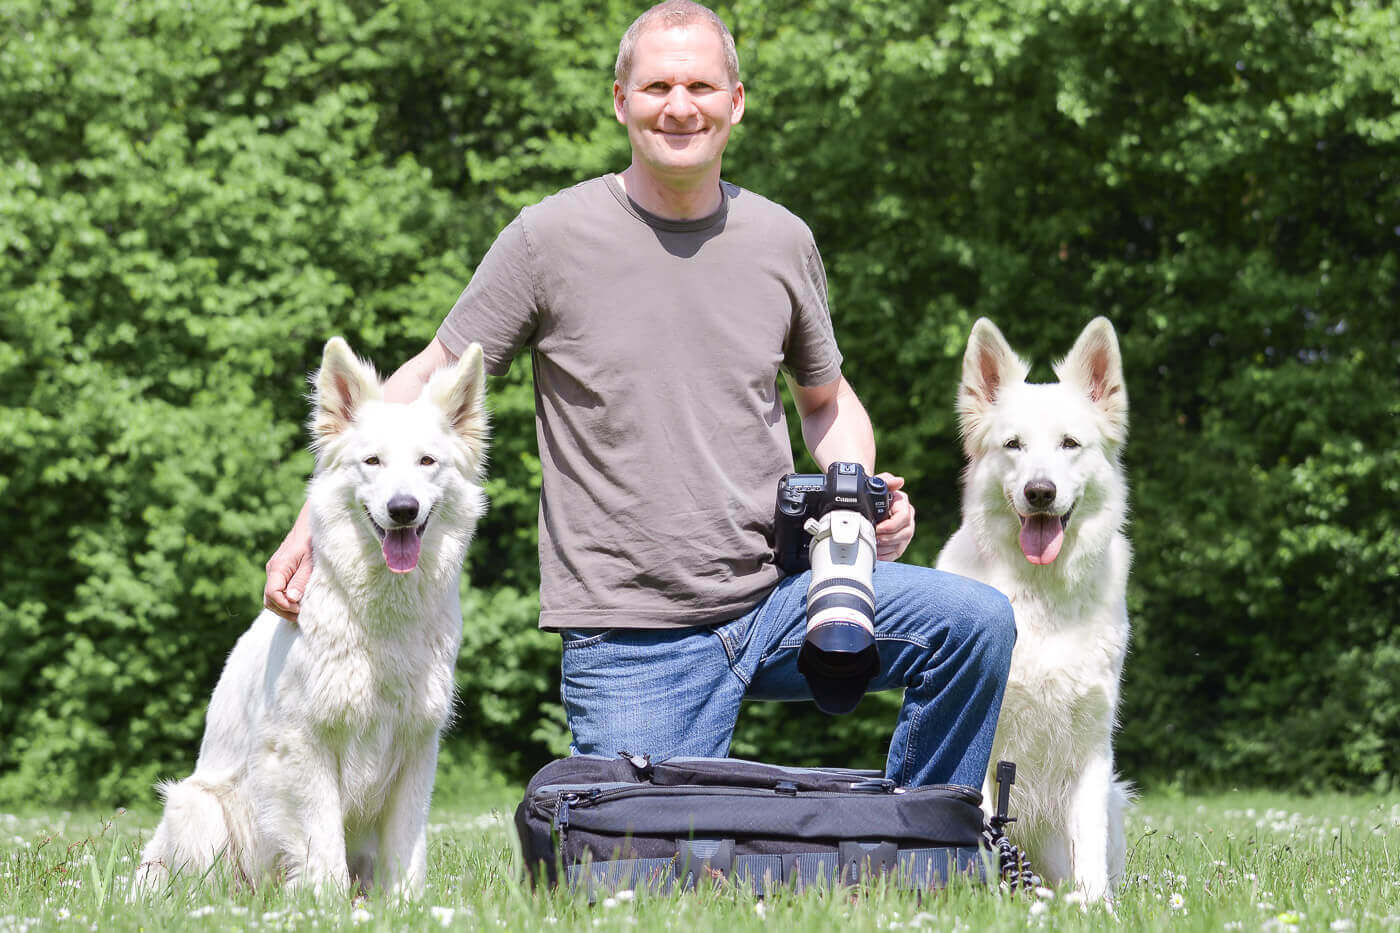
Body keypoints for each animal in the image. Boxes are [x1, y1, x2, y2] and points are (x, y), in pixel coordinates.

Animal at [136, 336, 487, 896]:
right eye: (372, 461)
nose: (403, 509)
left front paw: (408, 905)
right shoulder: (304, 746)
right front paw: (325, 903)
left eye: (427, 461)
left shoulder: (415, 747)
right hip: (198, 810)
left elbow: (406, 849)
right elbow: (322, 847)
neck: (379, 617)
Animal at [935, 316, 1131, 896]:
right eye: (1013, 445)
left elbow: (1088, 848)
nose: (1039, 492)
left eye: (1070, 444)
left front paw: (1095, 907)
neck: (1039, 596)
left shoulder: (1091, 744)